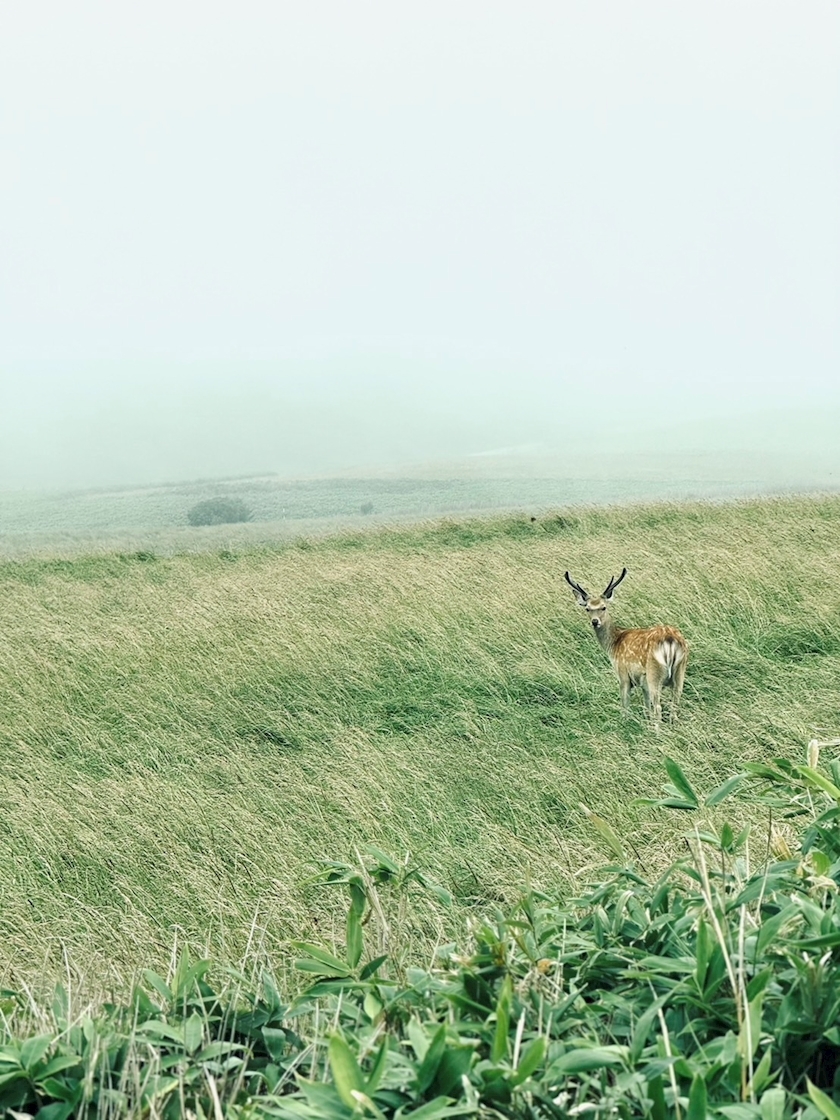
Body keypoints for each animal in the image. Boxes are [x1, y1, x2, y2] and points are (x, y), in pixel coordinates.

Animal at [566, 568, 689, 725]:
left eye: (603, 607)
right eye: (587, 608)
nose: (595, 621)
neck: (614, 644)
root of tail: (671, 639)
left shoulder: (623, 674)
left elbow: (625, 706)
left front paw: (624, 723)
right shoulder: (643, 684)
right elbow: (646, 706)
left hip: (654, 673)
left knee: (658, 708)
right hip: (680, 672)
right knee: (674, 704)